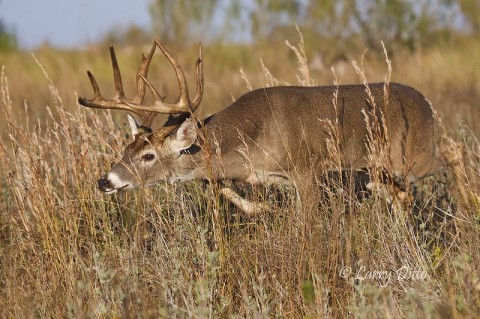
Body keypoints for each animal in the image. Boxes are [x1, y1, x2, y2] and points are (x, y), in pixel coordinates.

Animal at [78, 40, 464, 215]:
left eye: (148, 156)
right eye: (125, 149)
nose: (105, 181)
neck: (251, 140)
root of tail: (425, 102)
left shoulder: (307, 170)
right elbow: (219, 186)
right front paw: (262, 210)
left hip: (412, 154)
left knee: (454, 149)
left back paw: (466, 208)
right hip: (377, 169)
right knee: (401, 195)